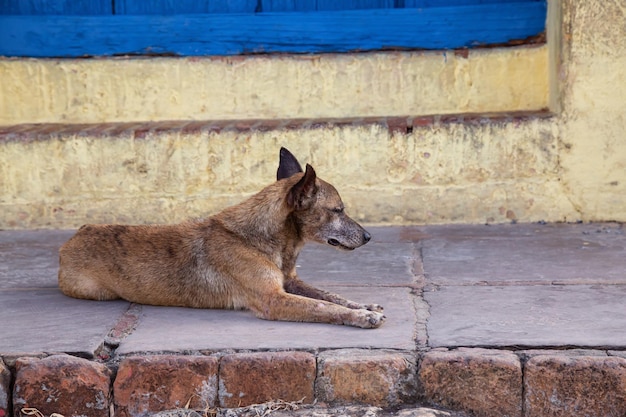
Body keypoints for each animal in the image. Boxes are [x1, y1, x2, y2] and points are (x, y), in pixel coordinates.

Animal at [58, 148, 382, 326]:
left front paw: (362, 306)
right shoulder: (273, 299)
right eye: (338, 210)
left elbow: (330, 296)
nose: (368, 237)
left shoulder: (290, 282)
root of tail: (77, 233)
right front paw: (362, 317)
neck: (257, 239)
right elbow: (323, 307)